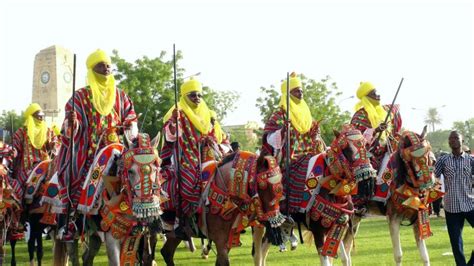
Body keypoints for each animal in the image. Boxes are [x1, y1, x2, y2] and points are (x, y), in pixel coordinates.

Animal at [252, 124, 378, 266]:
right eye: (346, 149)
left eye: (365, 146)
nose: (368, 178)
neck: (331, 189)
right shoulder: (318, 232)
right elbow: (326, 261)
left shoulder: (338, 226)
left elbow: (344, 259)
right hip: (258, 224)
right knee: (258, 254)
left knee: (263, 251)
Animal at [342, 127, 442, 266]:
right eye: (410, 159)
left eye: (430, 157)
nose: (429, 182)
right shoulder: (393, 218)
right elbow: (398, 255)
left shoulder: (417, 219)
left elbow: (425, 256)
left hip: (356, 216)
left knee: (347, 245)